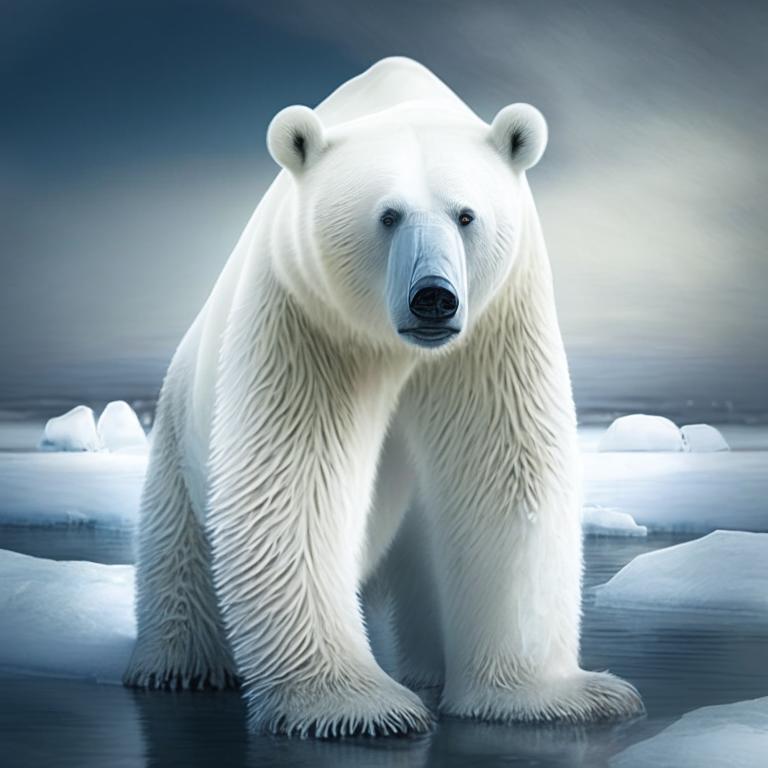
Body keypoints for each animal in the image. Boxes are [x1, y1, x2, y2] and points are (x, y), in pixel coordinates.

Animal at [123, 57, 643, 737]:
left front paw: (558, 696)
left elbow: (505, 470)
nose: (434, 298)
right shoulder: (309, 320)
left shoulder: (495, 326)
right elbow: (296, 483)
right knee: (180, 552)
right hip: (181, 433)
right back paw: (177, 668)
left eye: (465, 215)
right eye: (388, 215)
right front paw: (359, 707)